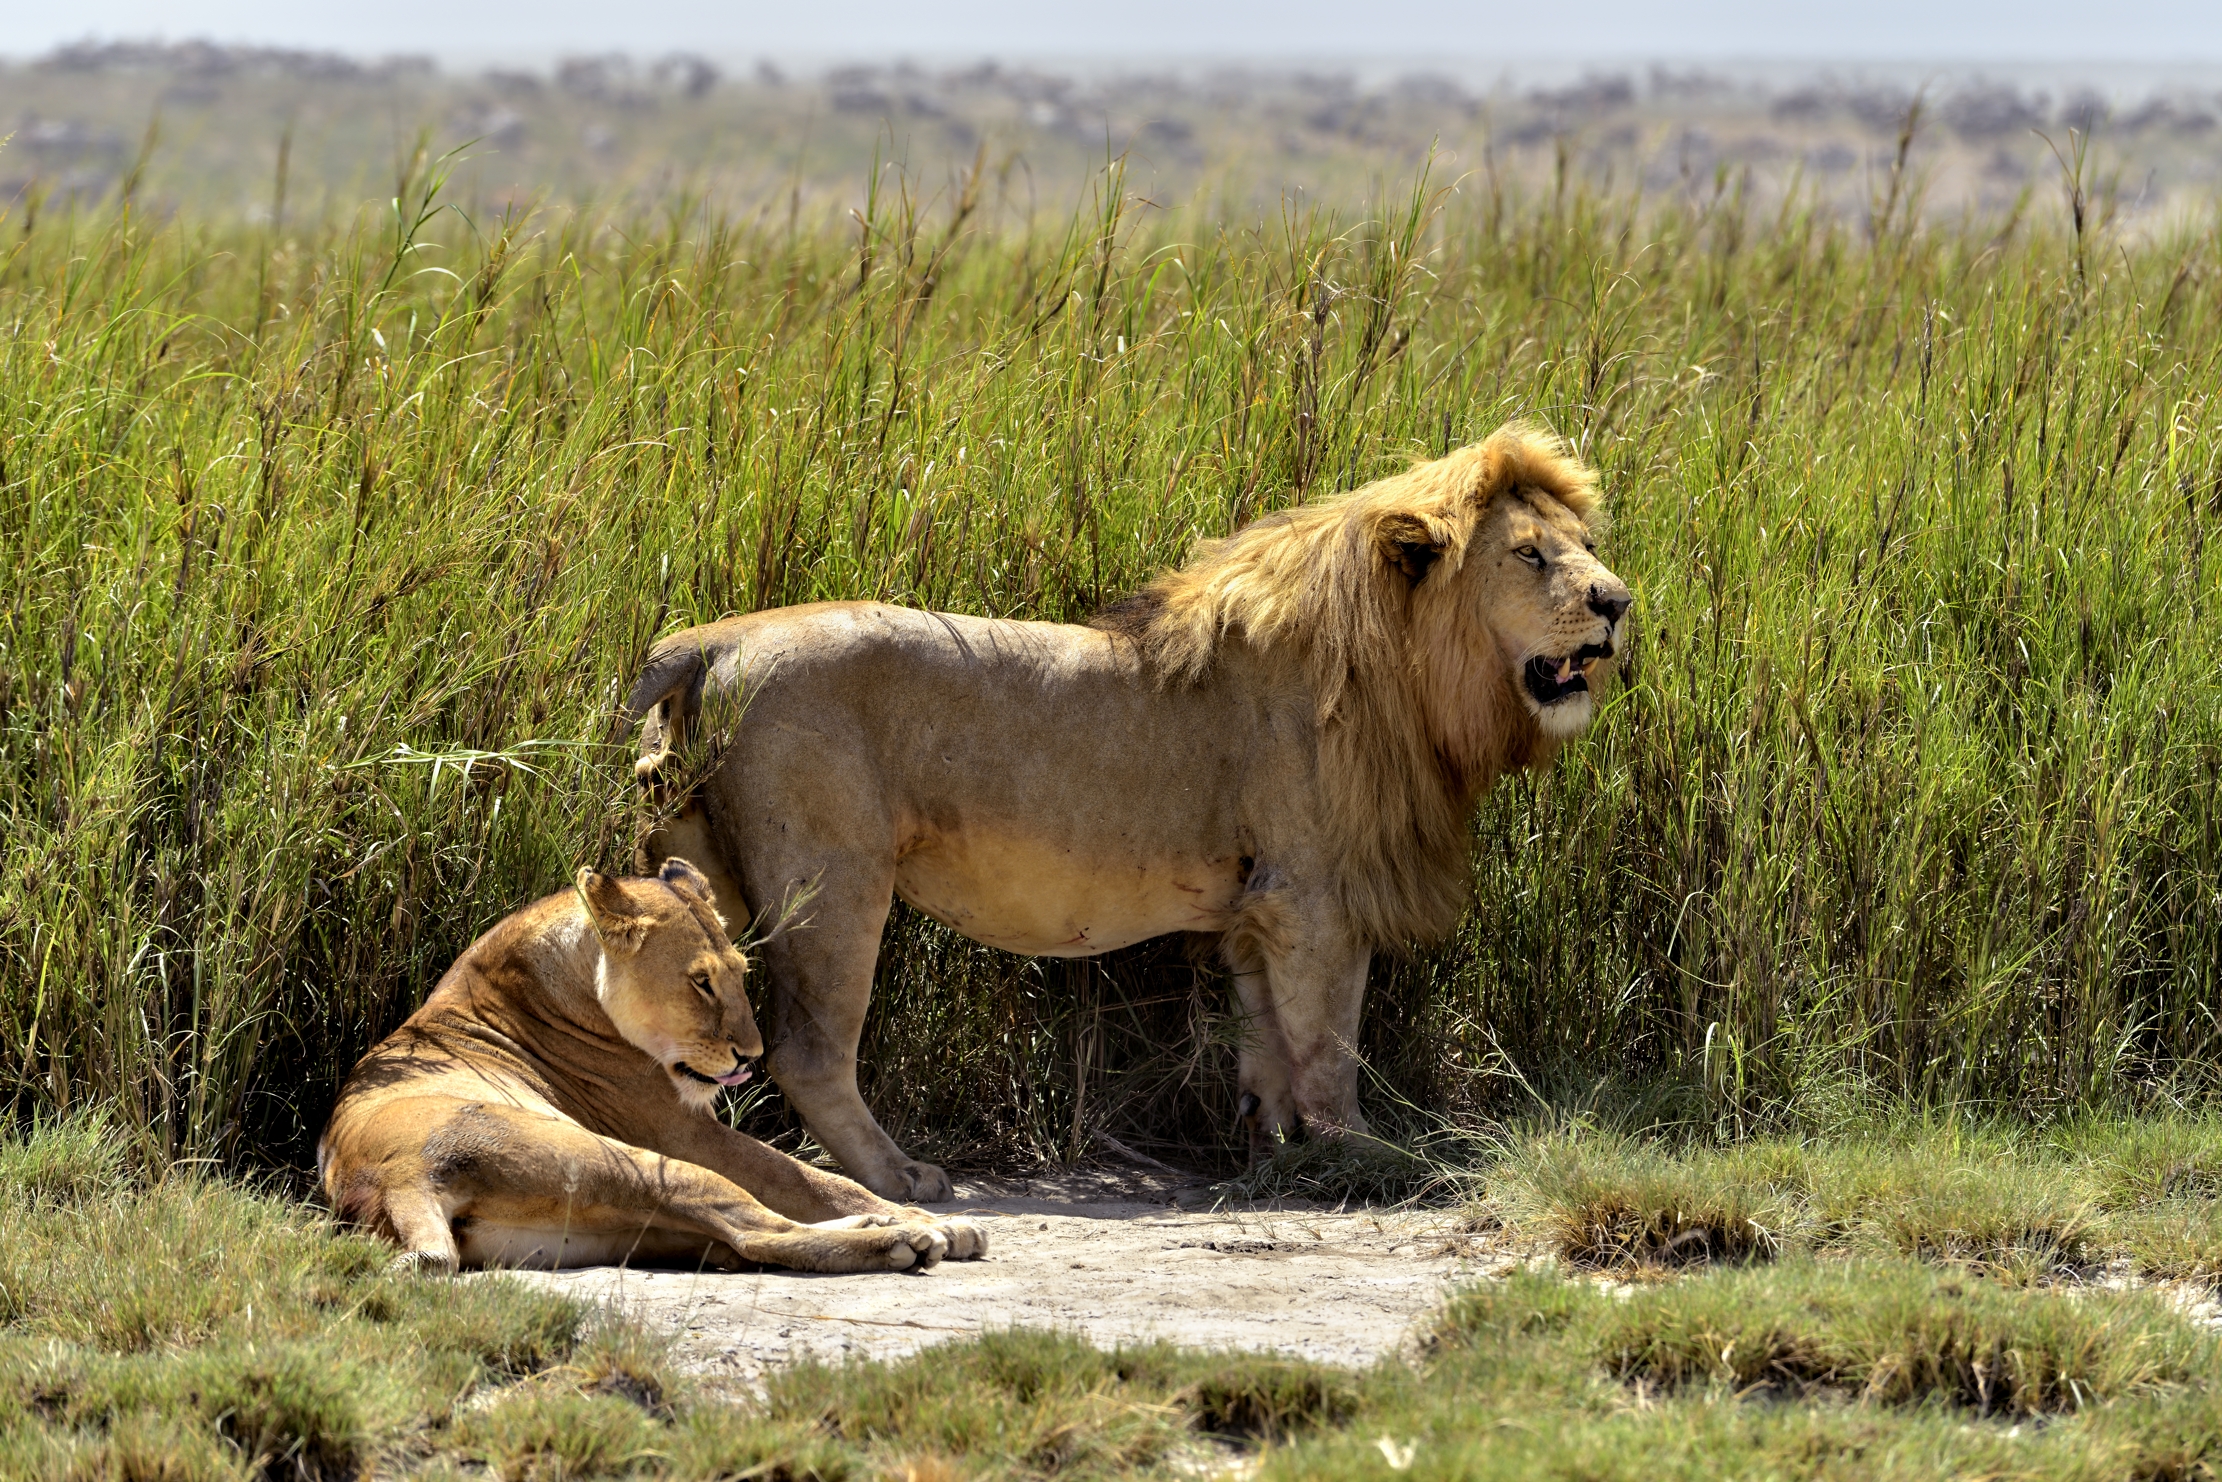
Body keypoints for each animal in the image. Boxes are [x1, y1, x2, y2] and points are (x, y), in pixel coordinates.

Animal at [317, 857, 987, 1273]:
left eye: (739, 974)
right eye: (700, 983)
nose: (752, 1056)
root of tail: (397, 1175)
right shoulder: (682, 1131)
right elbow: (809, 1179)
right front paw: (937, 1222)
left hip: (605, 1225)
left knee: (744, 1238)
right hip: (637, 1164)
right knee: (759, 1231)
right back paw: (906, 1239)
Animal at [627, 422, 1630, 1201]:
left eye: (1583, 543)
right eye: (1531, 554)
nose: (1618, 601)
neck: (1406, 677)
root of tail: (709, 640)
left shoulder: (1255, 906)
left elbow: (1266, 1043)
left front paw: (1273, 1158)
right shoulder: (1313, 897)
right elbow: (1327, 1045)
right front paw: (1364, 1156)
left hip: (697, 870)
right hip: (832, 880)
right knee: (807, 1048)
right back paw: (899, 1175)